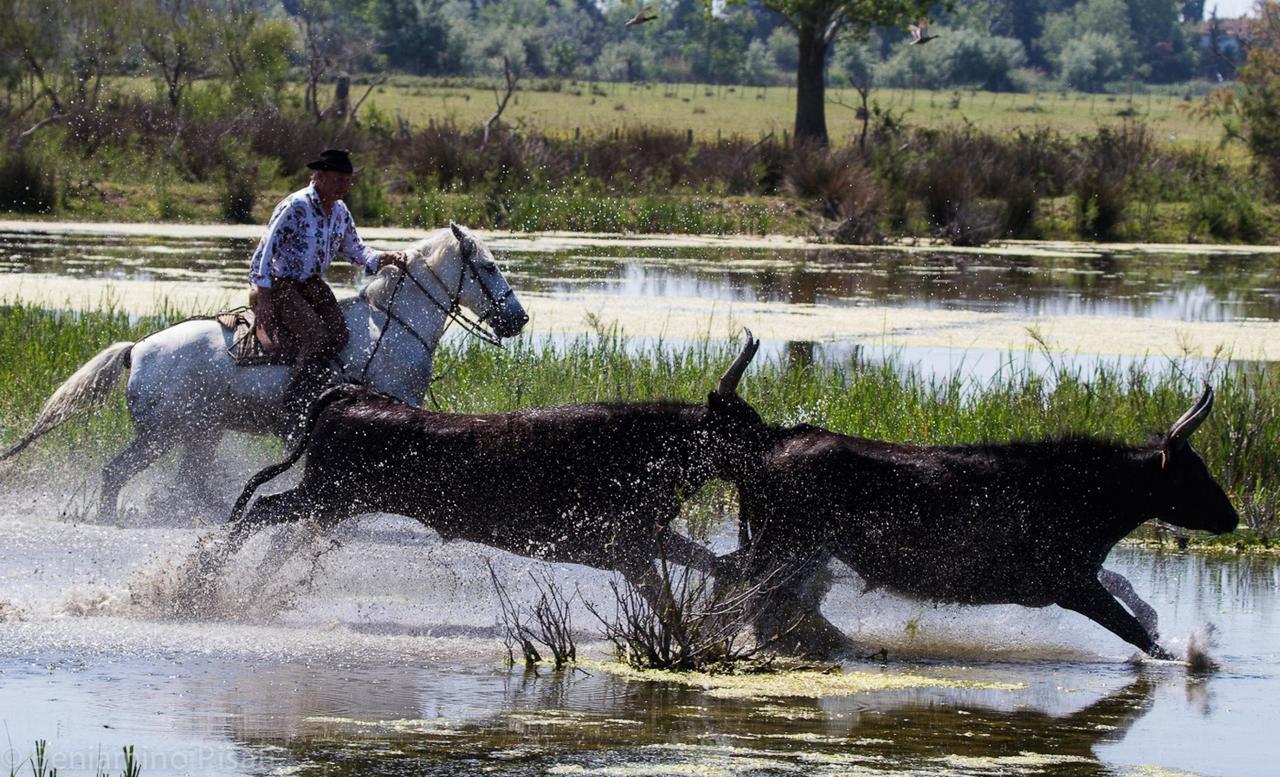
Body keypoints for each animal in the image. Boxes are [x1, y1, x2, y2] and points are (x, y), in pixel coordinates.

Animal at [1, 221, 524, 522]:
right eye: (488, 266)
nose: (518, 319)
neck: (392, 323)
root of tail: (139, 350)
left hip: (200, 433)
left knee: (187, 485)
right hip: (162, 435)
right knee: (115, 473)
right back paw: (112, 517)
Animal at [215, 332, 762, 596]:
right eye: (744, 427)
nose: (773, 453)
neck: (648, 447)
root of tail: (353, 394)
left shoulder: (647, 538)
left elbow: (713, 562)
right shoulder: (629, 547)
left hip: (329, 502)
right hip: (327, 494)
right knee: (258, 511)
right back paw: (204, 581)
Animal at [732, 386, 1239, 660]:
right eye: (1196, 472)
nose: (1231, 517)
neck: (1103, 507)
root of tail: (764, 450)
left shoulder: (1079, 579)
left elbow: (1139, 619)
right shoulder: (1069, 582)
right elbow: (1137, 632)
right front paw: (1195, 659)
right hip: (780, 543)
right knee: (751, 601)